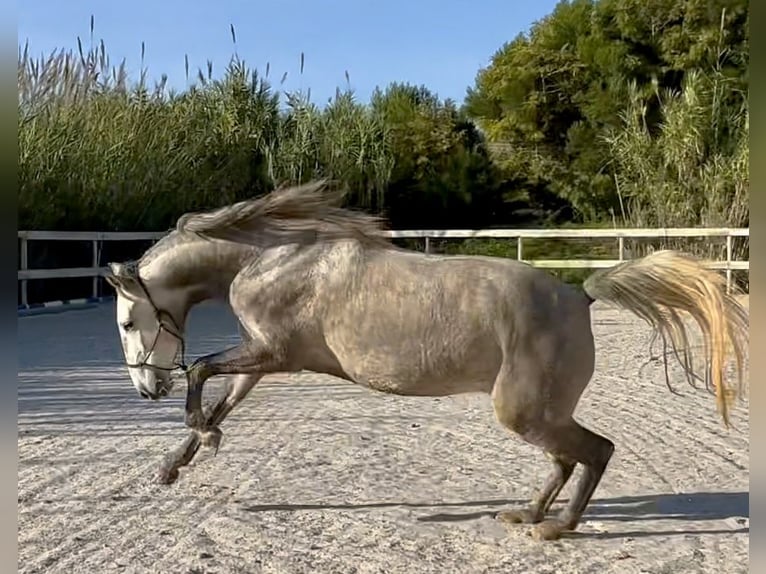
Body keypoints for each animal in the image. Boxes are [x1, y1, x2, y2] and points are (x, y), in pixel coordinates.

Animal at [103, 181, 752, 544]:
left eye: (129, 324)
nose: (146, 390)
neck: (272, 257)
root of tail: (580, 296)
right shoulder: (262, 357)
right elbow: (221, 398)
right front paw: (176, 463)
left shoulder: (275, 353)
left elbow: (200, 371)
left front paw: (197, 437)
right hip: (536, 411)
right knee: (568, 458)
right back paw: (526, 513)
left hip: (523, 410)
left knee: (595, 451)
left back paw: (556, 527)